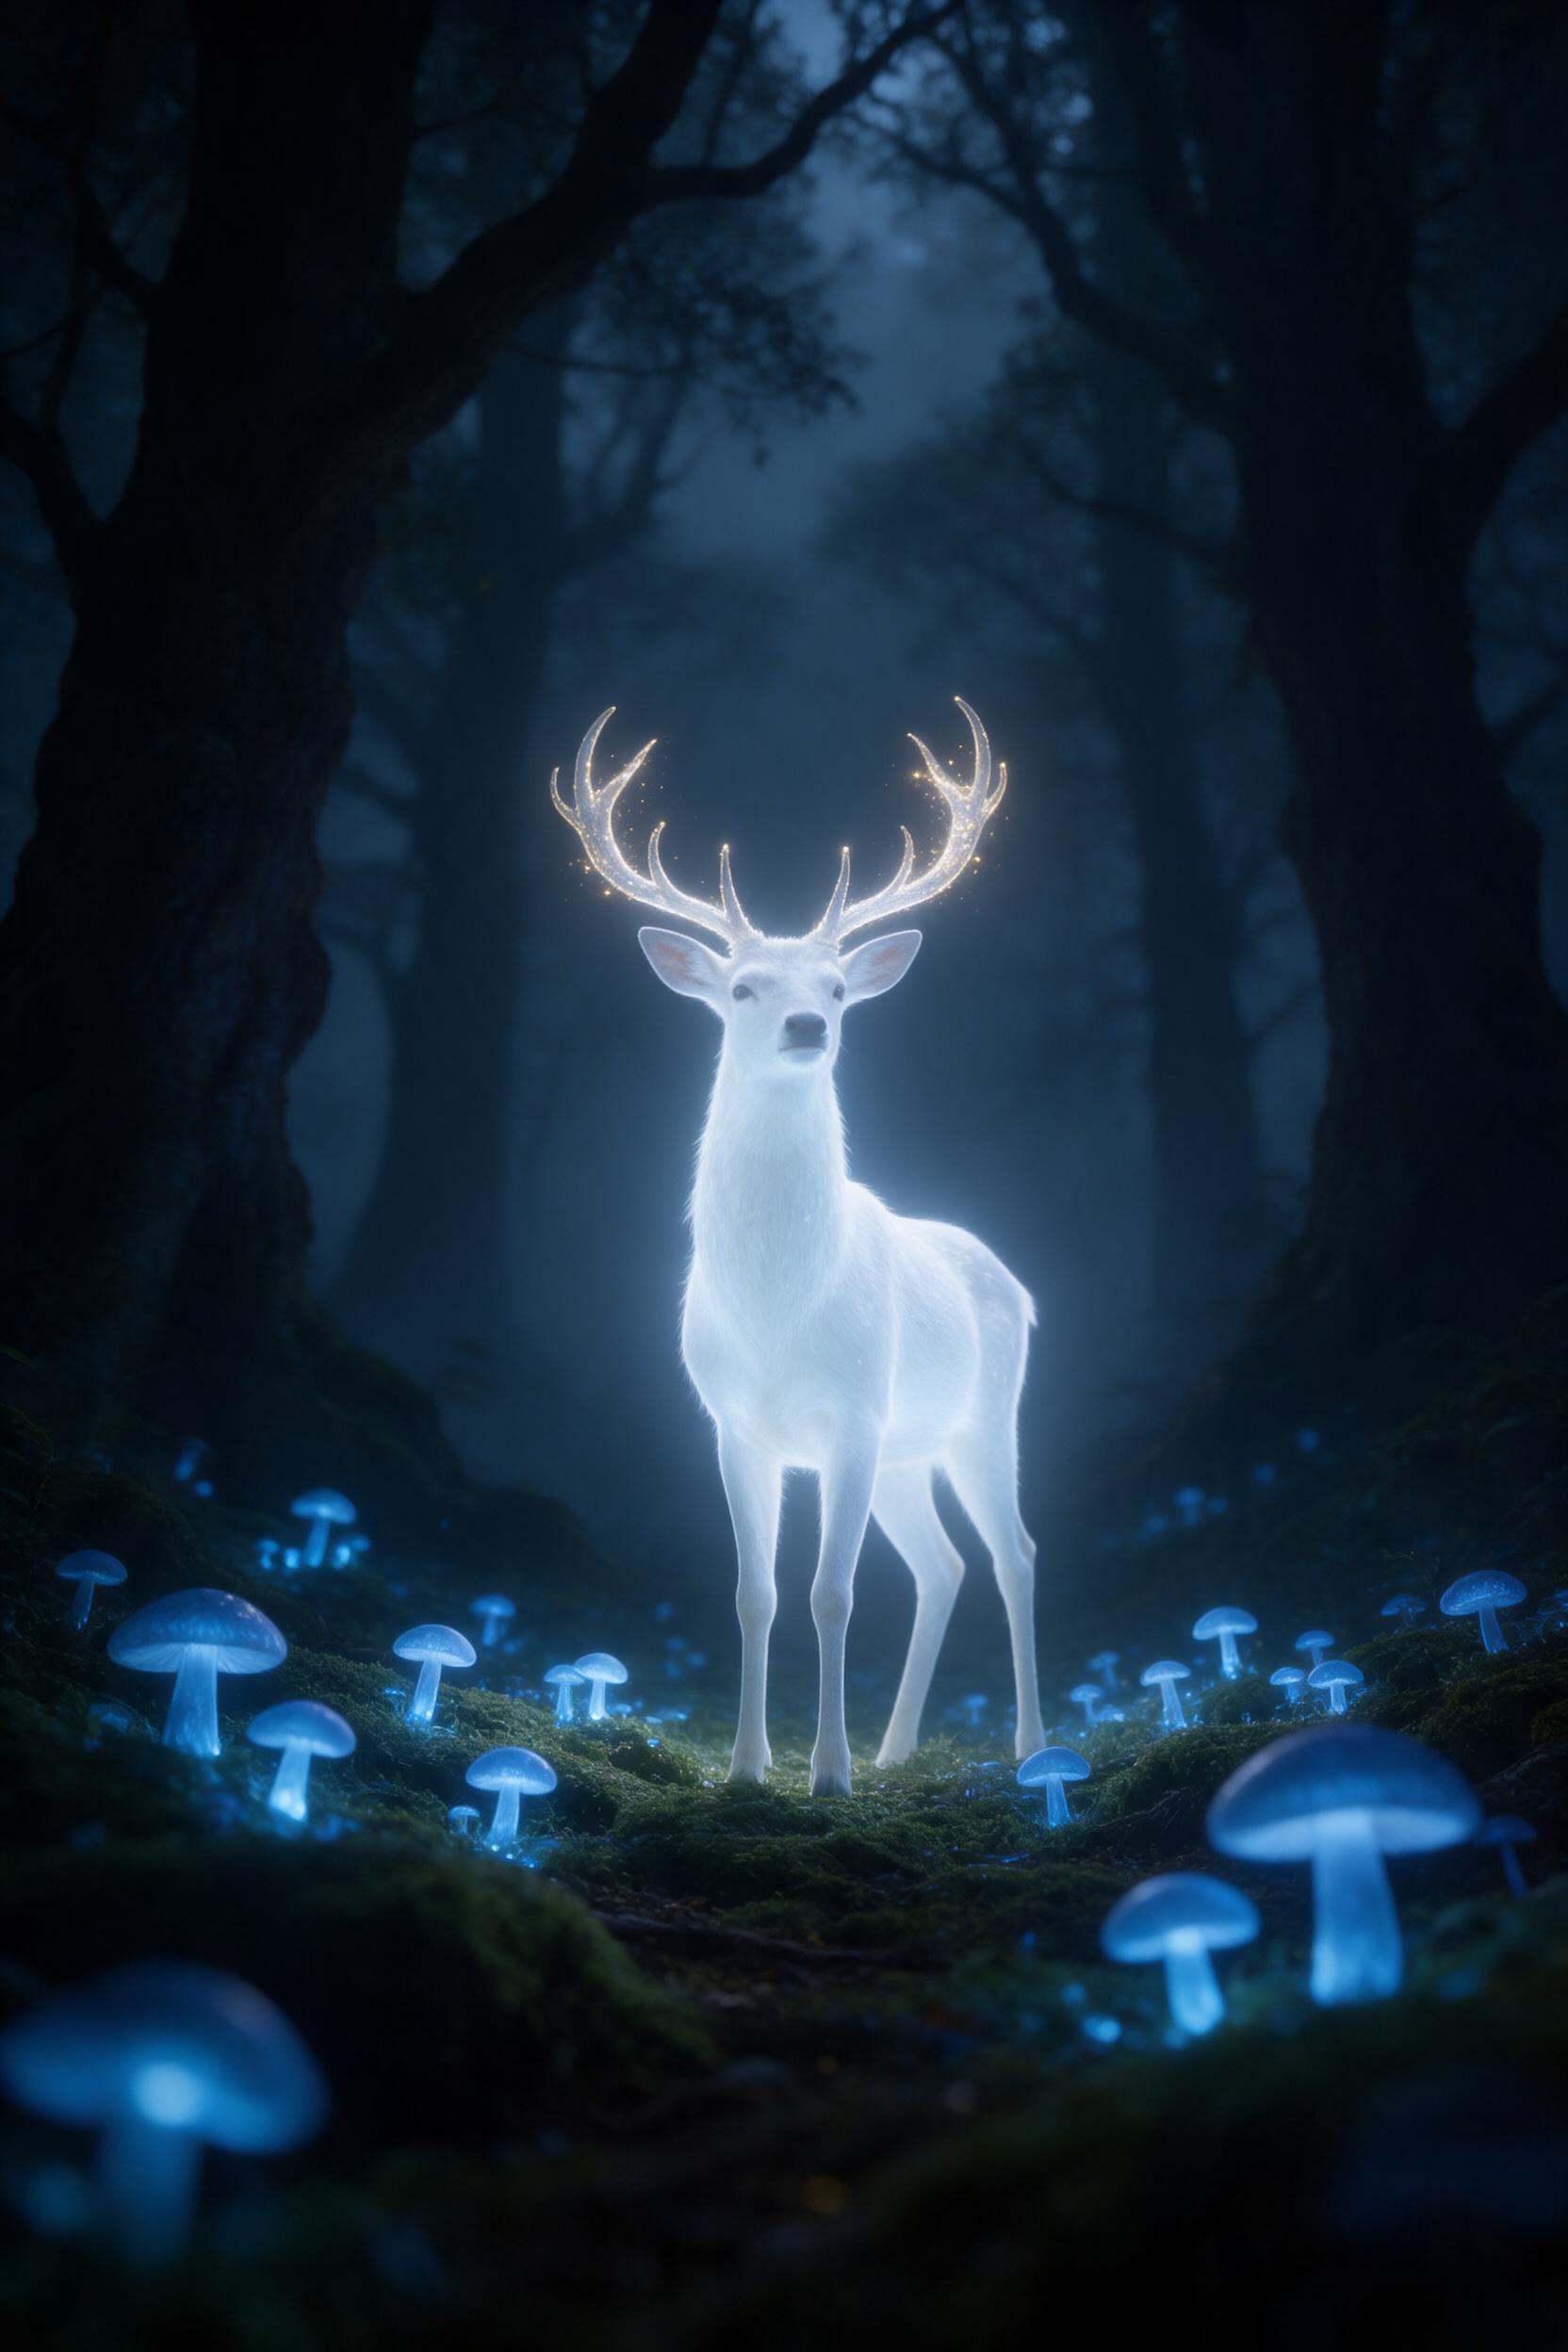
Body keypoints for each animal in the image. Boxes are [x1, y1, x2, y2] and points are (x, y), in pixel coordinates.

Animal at [551, 699, 1045, 1796]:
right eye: (740, 988)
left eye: (836, 985)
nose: (810, 1022)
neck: (778, 1301)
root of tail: (1017, 1283)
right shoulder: (733, 1421)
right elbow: (755, 1593)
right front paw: (745, 1767)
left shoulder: (852, 1413)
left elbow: (830, 1593)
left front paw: (828, 1776)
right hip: (908, 1452)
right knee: (943, 1564)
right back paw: (900, 1749)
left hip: (979, 1418)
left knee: (1014, 1554)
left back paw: (1032, 1747)